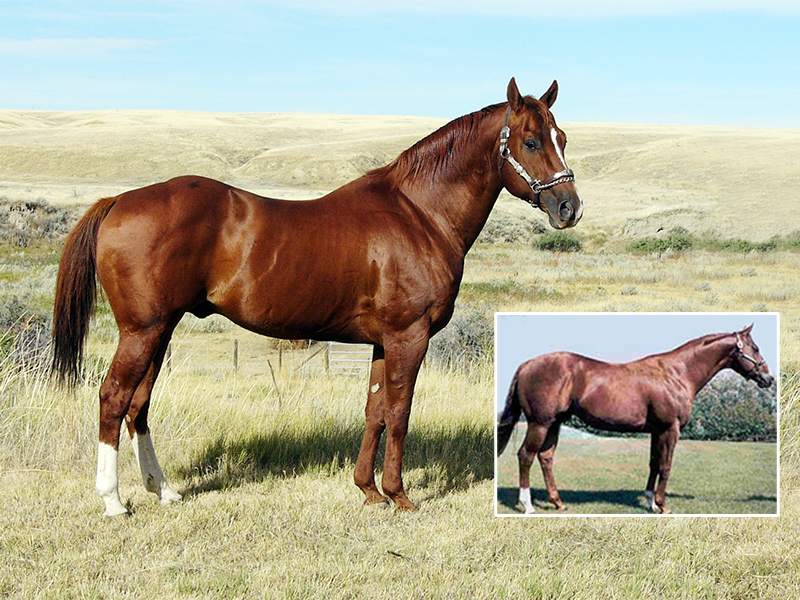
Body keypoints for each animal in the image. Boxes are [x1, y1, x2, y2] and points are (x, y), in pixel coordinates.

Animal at [52, 78, 583, 517]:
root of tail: (118, 201)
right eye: (531, 141)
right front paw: (399, 495)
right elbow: (400, 413)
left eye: (561, 138)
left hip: (160, 330)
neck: (420, 214)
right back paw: (113, 501)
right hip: (141, 331)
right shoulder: (408, 337)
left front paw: (368, 490)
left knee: (138, 406)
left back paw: (163, 490)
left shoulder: (382, 342)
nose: (569, 207)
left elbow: (374, 412)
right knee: (113, 398)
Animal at [497, 324, 774, 514]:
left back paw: (558, 502)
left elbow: (653, 464)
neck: (677, 373)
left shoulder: (656, 430)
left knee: (545, 457)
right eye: (755, 348)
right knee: (526, 455)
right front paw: (663, 505)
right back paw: (527, 505)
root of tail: (527, 364)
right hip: (540, 423)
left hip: (554, 423)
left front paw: (650, 503)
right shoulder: (670, 429)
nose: (769, 378)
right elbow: (666, 466)